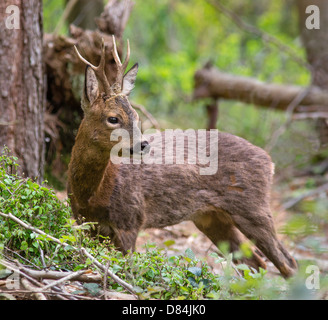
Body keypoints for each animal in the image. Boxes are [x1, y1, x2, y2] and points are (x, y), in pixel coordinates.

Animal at [68, 37, 298, 278]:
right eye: (113, 118)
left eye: (136, 115)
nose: (143, 144)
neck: (93, 195)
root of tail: (269, 161)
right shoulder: (86, 224)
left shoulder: (130, 219)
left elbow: (128, 268)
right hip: (211, 218)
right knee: (255, 262)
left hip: (254, 208)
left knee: (287, 262)